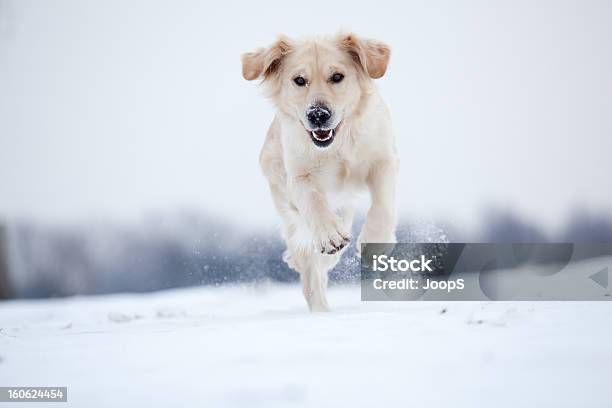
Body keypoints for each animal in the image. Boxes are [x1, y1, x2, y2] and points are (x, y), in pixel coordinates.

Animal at [241, 32, 400, 312]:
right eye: (299, 80)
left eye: (337, 76)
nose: (317, 115)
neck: (337, 145)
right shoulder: (298, 177)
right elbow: (314, 202)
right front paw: (329, 236)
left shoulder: (382, 158)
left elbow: (383, 204)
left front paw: (374, 243)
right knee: (311, 276)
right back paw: (321, 312)